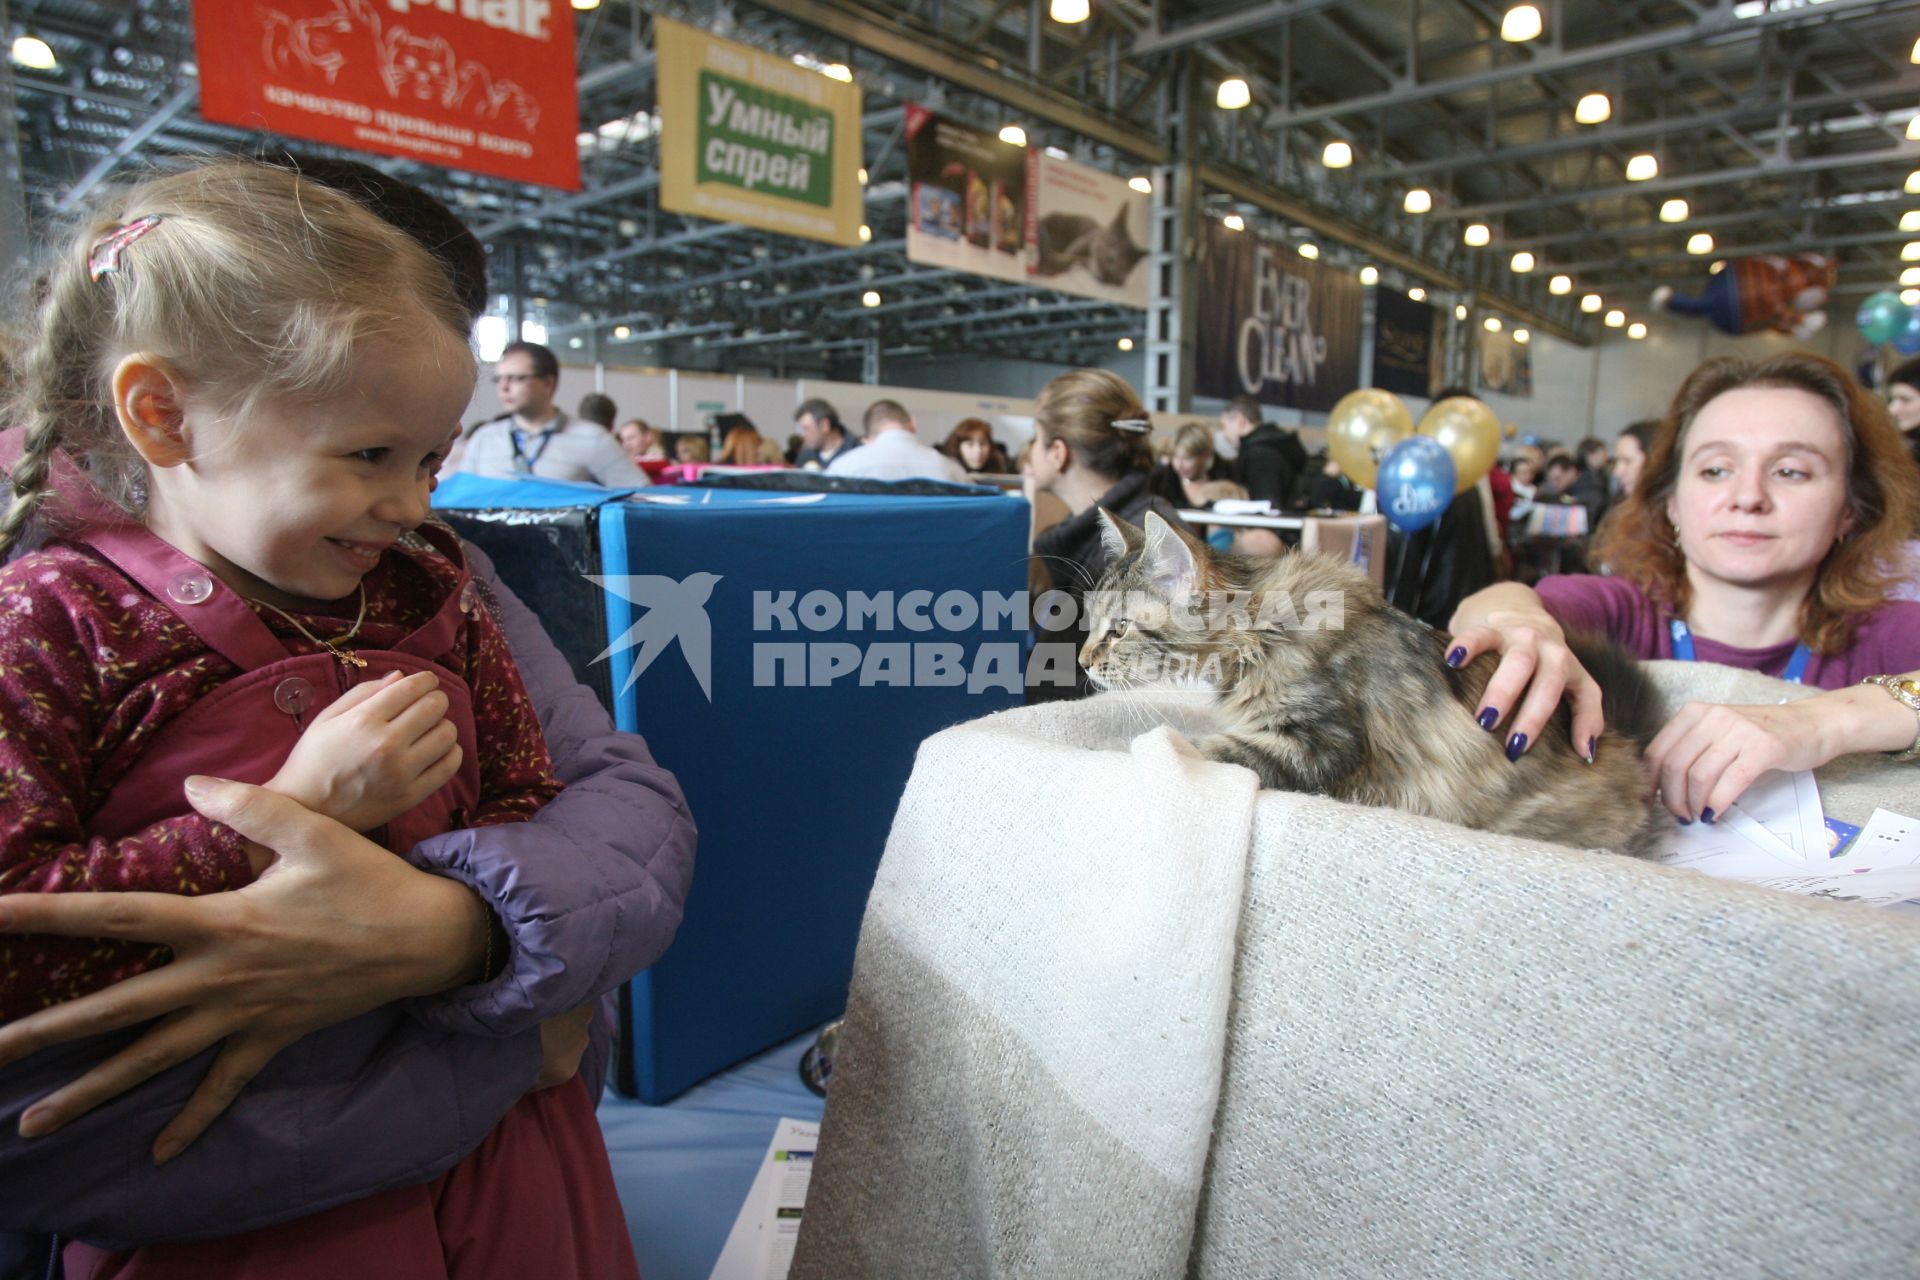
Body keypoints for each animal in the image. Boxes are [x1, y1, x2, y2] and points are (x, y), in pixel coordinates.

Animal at [1082, 506, 1666, 855]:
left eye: (1119, 629)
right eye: (1090, 623)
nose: (1085, 661)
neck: (1260, 630)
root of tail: (1625, 743)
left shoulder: (1320, 745)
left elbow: (1198, 745)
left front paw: (1115, 748)